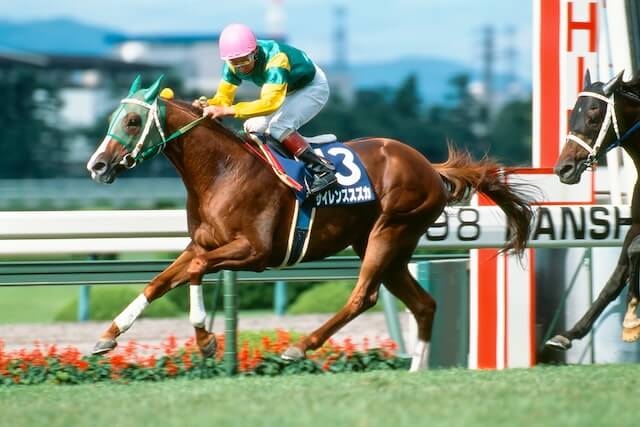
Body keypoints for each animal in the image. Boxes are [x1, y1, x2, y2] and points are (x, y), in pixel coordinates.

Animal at [86, 75, 534, 371]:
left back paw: (301, 347)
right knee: (424, 304)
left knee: (363, 296)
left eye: (131, 122)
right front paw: (107, 336)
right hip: (386, 244)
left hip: (390, 232)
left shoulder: (253, 252)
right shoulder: (202, 244)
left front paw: (206, 340)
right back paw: (415, 370)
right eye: (112, 117)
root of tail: (428, 166)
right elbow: (159, 282)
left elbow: (194, 272)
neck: (221, 171)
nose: (97, 166)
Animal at [548, 70, 640, 350]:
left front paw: (632, 319)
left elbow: (634, 251)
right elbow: (614, 280)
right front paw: (568, 334)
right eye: (571, 116)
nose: (563, 169)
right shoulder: (635, 224)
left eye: (593, 116)